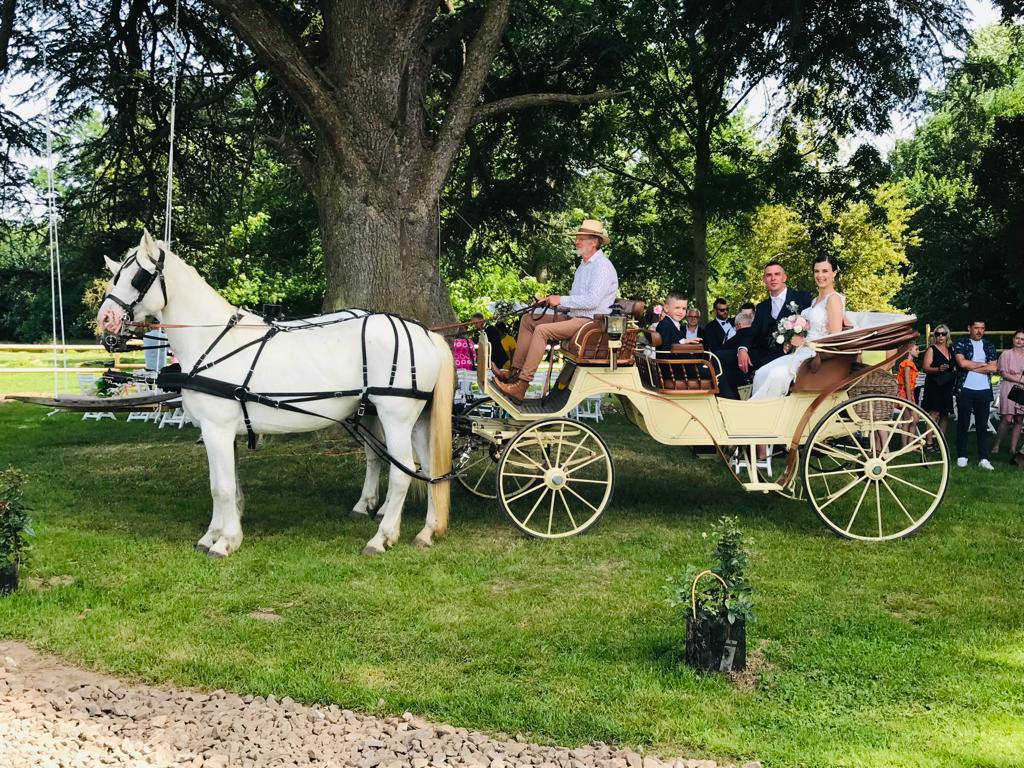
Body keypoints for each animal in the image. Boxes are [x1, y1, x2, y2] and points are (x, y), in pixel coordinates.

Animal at [98, 230, 452, 561]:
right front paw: (213, 535)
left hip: (396, 418)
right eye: (116, 274)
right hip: (416, 421)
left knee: (402, 473)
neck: (213, 340)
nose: (105, 319)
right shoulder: (220, 433)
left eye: (137, 276)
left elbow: (221, 487)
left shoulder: (217, 429)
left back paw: (382, 537)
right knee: (431, 469)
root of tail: (427, 335)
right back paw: (427, 531)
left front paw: (225, 542)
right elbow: (222, 485)